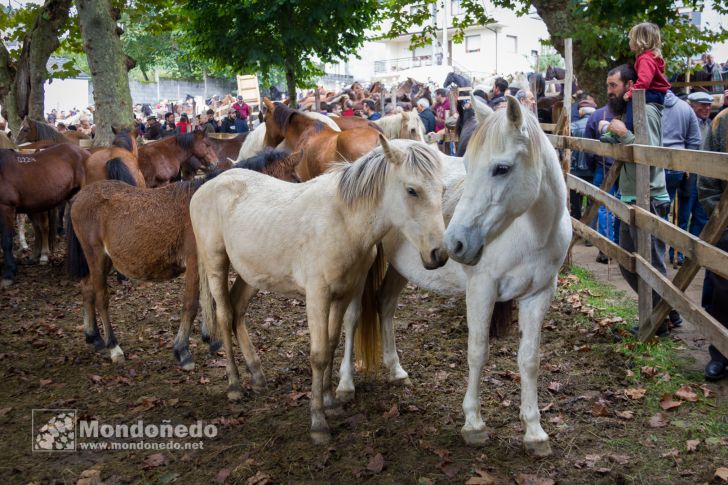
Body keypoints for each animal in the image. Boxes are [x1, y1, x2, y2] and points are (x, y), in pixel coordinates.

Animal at [65, 148, 298, 366]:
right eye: (295, 180)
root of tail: (79, 197)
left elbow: (209, 300)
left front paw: (211, 339)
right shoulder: (195, 261)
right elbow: (191, 303)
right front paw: (182, 350)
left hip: (103, 260)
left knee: (87, 289)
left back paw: (93, 336)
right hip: (96, 256)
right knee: (101, 296)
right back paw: (113, 346)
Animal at [191, 135, 446, 442]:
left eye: (442, 189)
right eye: (412, 190)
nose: (439, 254)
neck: (343, 221)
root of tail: (206, 186)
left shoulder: (343, 295)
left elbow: (333, 345)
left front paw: (331, 403)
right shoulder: (317, 297)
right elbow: (319, 354)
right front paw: (318, 422)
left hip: (251, 274)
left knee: (237, 311)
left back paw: (257, 376)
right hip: (216, 263)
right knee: (224, 315)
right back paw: (235, 385)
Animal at [338, 95, 572, 458]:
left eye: (501, 168)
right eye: (468, 165)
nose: (454, 243)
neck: (531, 233)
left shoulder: (539, 295)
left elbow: (529, 360)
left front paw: (534, 432)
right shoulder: (481, 291)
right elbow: (477, 352)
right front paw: (473, 425)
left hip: (401, 268)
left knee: (384, 307)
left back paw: (396, 370)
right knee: (352, 318)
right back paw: (345, 384)